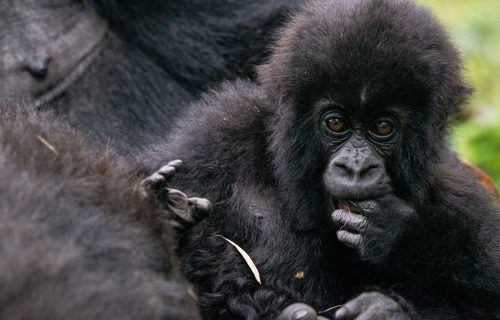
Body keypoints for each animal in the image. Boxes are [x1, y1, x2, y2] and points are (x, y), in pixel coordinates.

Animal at [139, 0, 500, 318]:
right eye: (336, 123)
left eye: (383, 127)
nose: (356, 168)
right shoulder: (214, 136)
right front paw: (166, 215)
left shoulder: (456, 185)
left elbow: (485, 290)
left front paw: (400, 238)